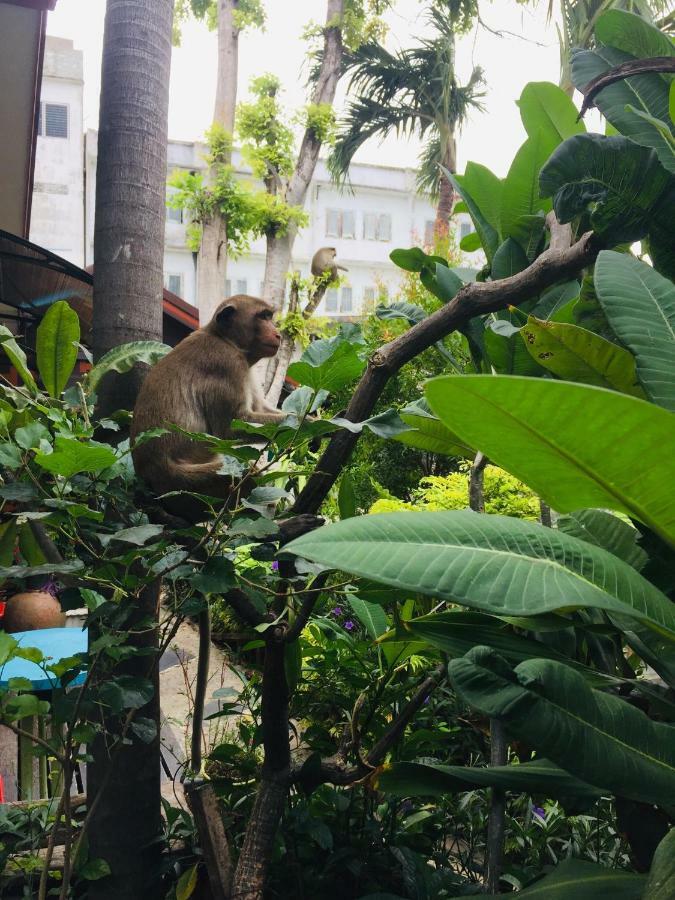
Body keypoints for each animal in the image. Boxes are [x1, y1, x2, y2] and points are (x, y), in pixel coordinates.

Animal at [132, 296, 288, 520]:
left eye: (269, 316)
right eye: (262, 317)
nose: (278, 334)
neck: (224, 339)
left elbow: (261, 409)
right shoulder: (228, 364)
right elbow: (230, 428)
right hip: (183, 487)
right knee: (246, 474)